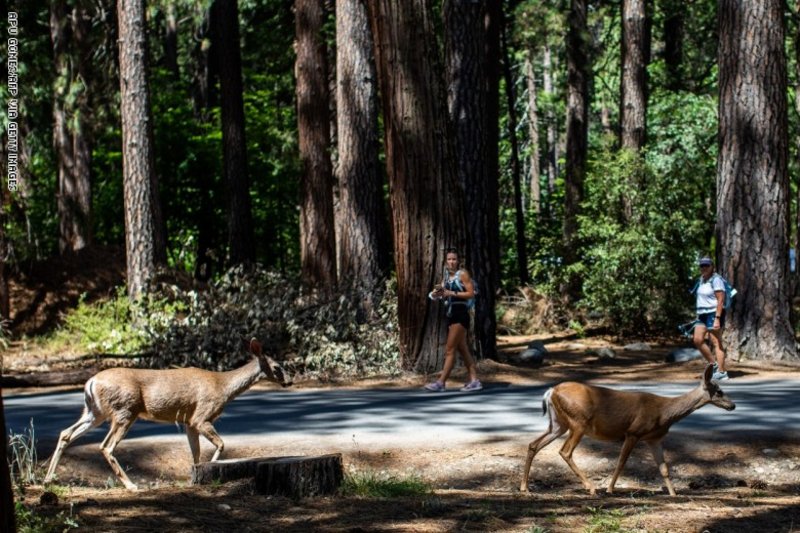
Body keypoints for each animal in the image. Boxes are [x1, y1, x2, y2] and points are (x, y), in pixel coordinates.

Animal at [44, 338, 294, 488]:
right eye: (277, 367)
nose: (290, 381)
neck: (223, 387)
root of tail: (90, 382)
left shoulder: (188, 422)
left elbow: (195, 454)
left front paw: (195, 477)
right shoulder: (201, 416)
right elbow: (221, 444)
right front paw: (211, 468)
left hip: (95, 411)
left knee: (66, 433)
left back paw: (48, 479)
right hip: (125, 410)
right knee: (106, 446)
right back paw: (131, 485)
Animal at [520, 364, 736, 496]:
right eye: (719, 391)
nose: (733, 405)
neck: (664, 413)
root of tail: (551, 391)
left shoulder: (654, 438)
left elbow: (664, 468)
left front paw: (674, 494)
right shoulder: (633, 432)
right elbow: (621, 462)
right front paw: (609, 489)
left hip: (558, 424)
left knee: (533, 444)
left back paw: (524, 487)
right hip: (578, 422)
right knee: (565, 451)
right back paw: (591, 488)